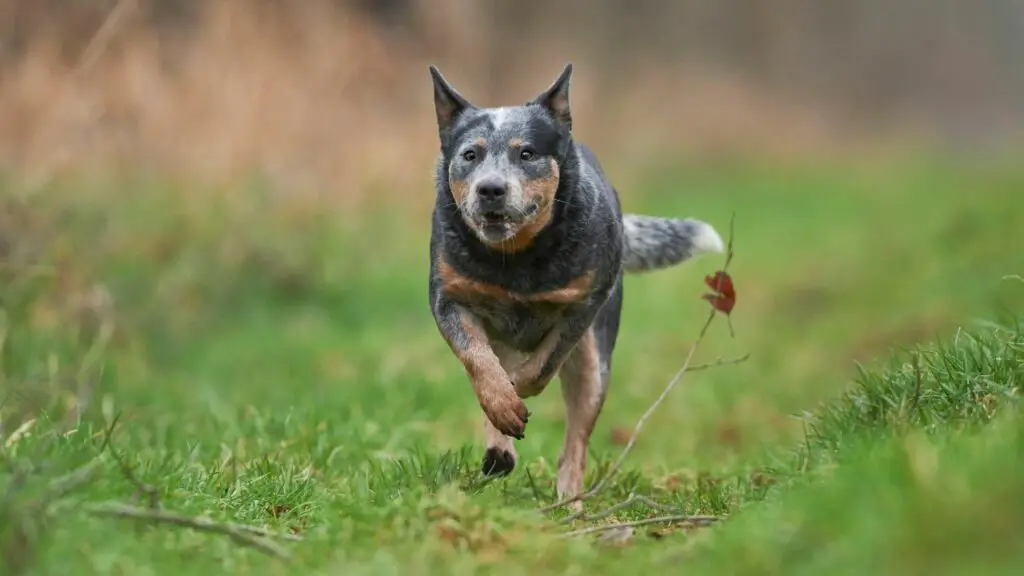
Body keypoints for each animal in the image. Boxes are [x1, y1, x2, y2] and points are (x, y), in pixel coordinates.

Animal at [423, 62, 720, 502]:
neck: (515, 259)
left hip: (594, 366)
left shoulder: (586, 301)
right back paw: (499, 449)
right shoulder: (448, 298)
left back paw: (568, 502)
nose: (490, 188)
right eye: (470, 155)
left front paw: (518, 391)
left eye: (527, 153)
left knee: (575, 443)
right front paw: (502, 407)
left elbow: (542, 364)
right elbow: (478, 360)